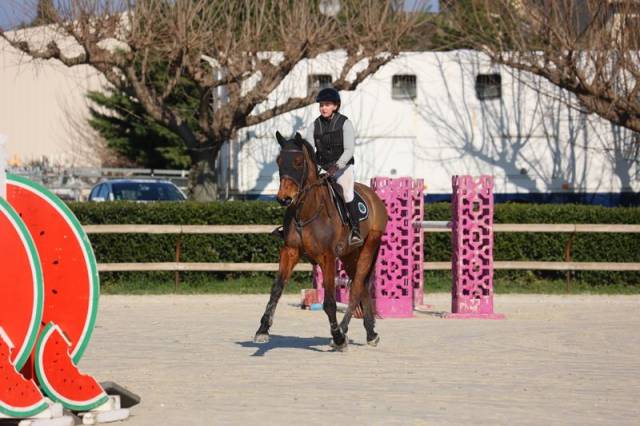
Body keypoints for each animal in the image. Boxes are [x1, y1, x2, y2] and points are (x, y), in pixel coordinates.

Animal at [253, 131, 388, 351]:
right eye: (279, 161)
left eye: (299, 162)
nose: (284, 198)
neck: (307, 211)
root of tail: (373, 196)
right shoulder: (290, 251)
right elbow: (276, 289)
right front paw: (262, 330)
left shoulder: (327, 257)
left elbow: (330, 302)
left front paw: (338, 337)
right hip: (350, 255)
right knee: (361, 287)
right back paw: (371, 334)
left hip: (369, 247)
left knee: (356, 288)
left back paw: (343, 332)